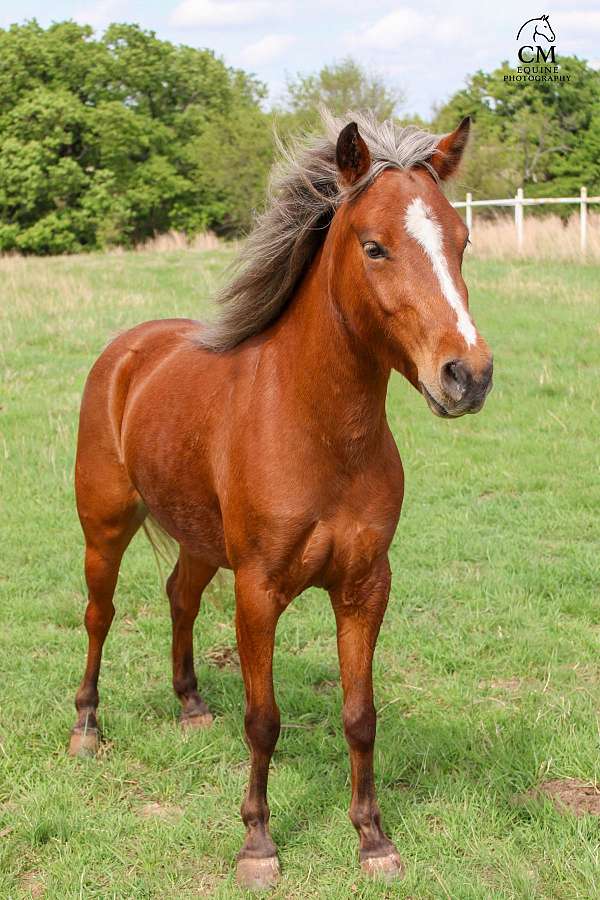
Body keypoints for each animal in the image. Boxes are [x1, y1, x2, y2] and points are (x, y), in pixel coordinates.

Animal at [69, 110, 493, 889]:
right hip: (105, 526)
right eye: (374, 246)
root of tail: (128, 349)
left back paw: (190, 705)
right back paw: (86, 728)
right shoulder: (260, 590)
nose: (467, 375)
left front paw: (373, 840)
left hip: (202, 541)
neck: (318, 433)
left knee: (179, 596)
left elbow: (361, 715)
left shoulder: (365, 587)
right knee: (99, 615)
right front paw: (258, 846)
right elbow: (263, 719)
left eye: (461, 241)